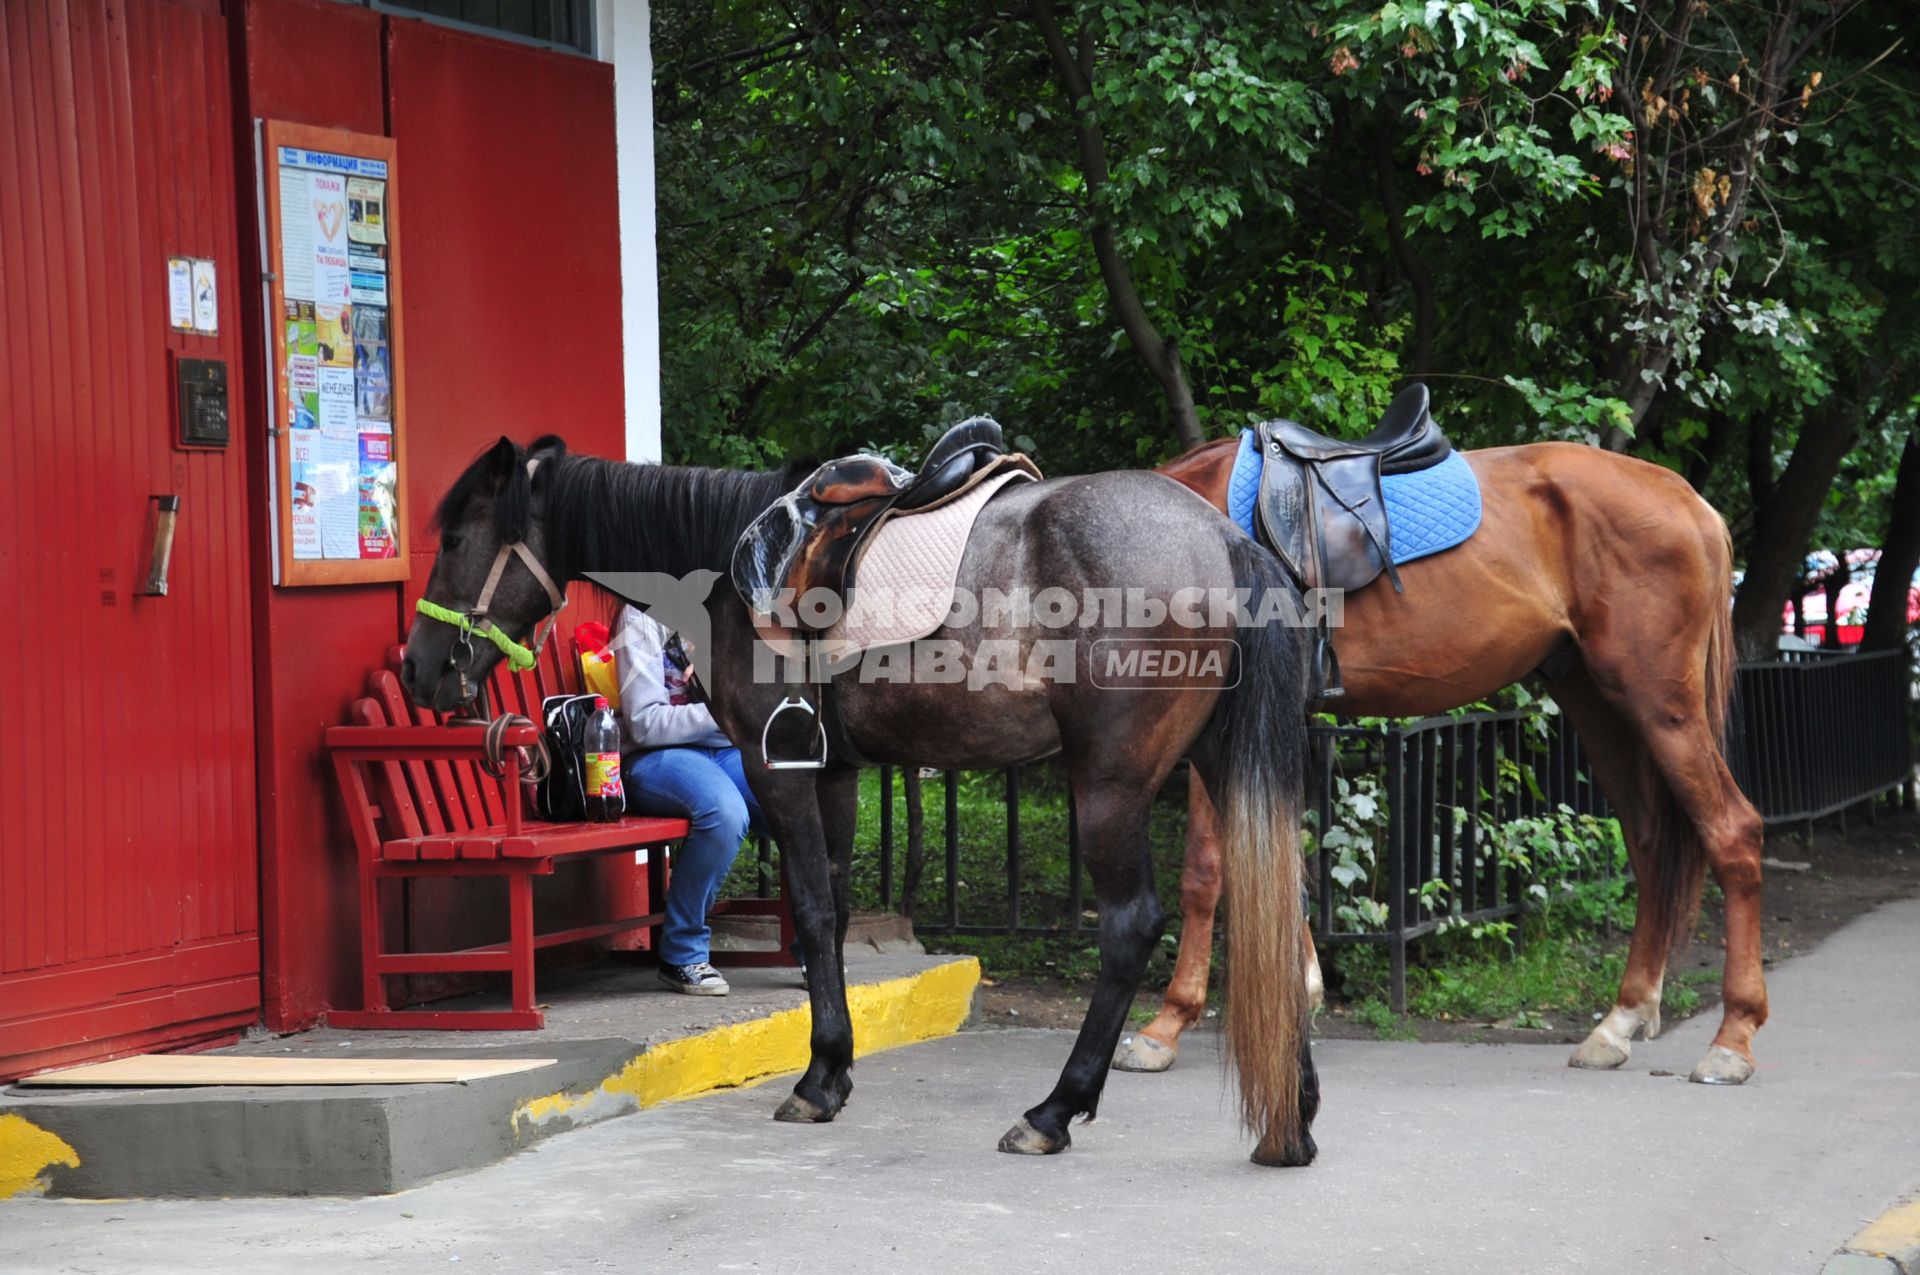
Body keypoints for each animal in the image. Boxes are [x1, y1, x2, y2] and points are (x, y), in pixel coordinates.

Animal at [403, 437, 1320, 1167]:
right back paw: (1296, 1111)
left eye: (454, 536)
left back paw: (1055, 1109)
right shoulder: (835, 772)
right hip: (1217, 765)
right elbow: (836, 914)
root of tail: (1224, 537)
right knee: (1271, 899)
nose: (417, 669)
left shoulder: (777, 769)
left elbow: (811, 912)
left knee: (1131, 924)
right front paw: (836, 1067)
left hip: (1109, 785)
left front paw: (817, 1075)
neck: (729, 566)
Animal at [1121, 437, 1766, 1082]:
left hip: (1662, 708)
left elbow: (1207, 870)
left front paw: (1166, 1025)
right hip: (1597, 703)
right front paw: (1300, 988)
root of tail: (1691, 502)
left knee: (1733, 831)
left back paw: (1732, 1038)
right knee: (1650, 842)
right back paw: (1621, 1021)